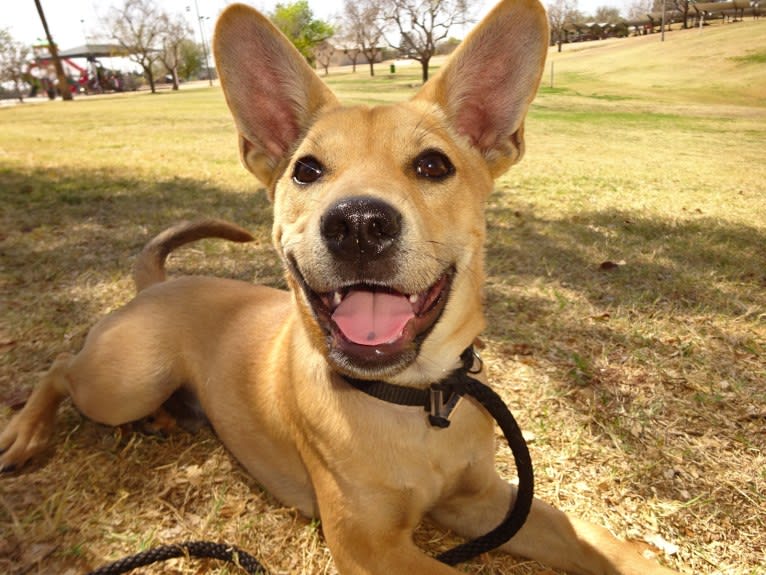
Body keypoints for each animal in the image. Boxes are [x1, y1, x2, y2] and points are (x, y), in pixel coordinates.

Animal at [1, 1, 684, 575]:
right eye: (307, 169)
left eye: (433, 165)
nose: (358, 223)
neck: (413, 403)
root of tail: (157, 284)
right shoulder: (370, 546)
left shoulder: (485, 502)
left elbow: (596, 541)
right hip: (126, 380)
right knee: (60, 367)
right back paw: (26, 435)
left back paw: (165, 421)